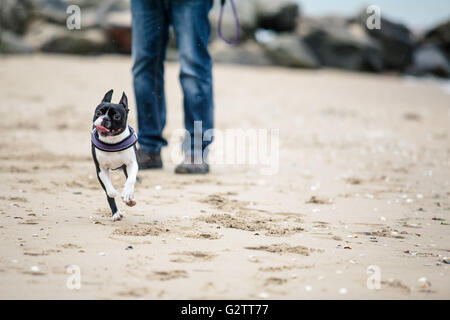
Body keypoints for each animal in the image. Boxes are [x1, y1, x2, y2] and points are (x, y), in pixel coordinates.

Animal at [92, 89, 139, 221]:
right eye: (98, 113)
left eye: (116, 116)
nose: (104, 118)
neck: (112, 142)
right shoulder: (101, 169)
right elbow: (108, 189)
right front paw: (113, 192)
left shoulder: (131, 164)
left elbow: (131, 180)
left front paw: (127, 194)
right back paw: (116, 213)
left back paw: (130, 199)